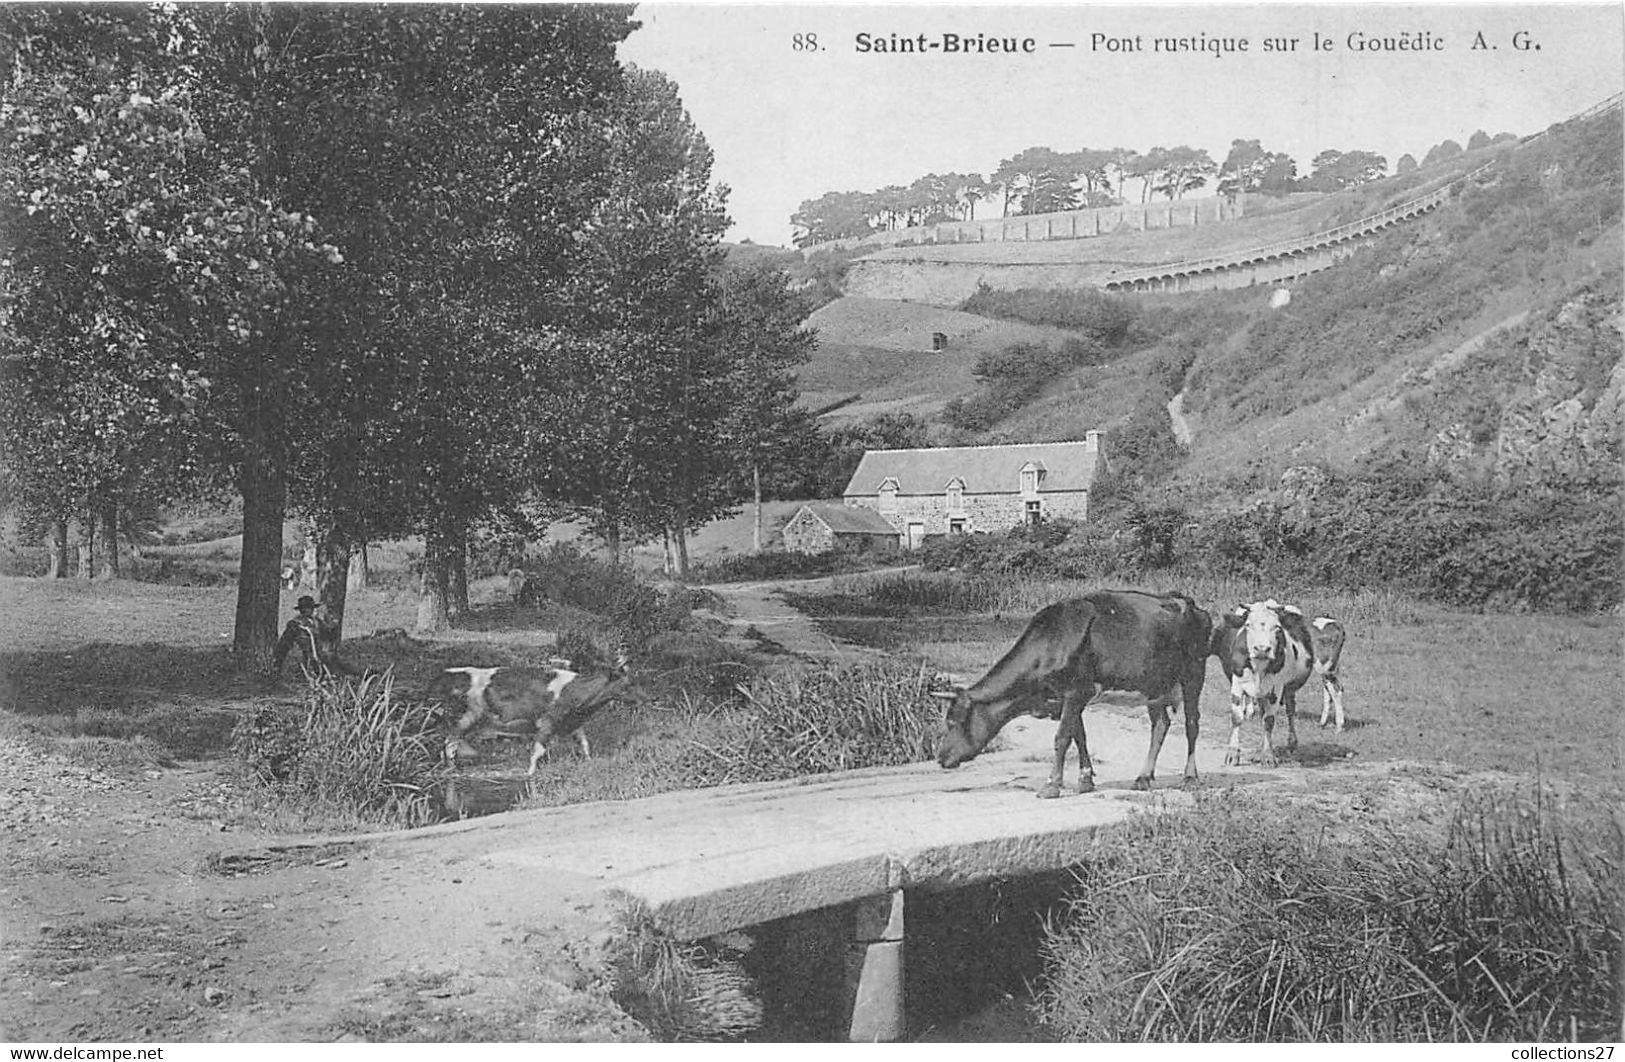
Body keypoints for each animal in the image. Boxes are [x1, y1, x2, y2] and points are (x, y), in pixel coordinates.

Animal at [429, 652, 637, 779]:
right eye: (627, 684)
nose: (643, 698)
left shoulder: (573, 723)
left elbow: (585, 744)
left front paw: (589, 763)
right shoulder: (547, 723)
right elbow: (538, 751)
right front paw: (529, 774)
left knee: (449, 745)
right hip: (463, 719)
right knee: (449, 745)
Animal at [936, 594, 1215, 795]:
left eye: (953, 722)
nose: (940, 757)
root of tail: (1188, 602)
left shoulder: (1075, 691)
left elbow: (1061, 738)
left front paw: (1051, 785)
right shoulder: (1068, 698)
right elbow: (1078, 735)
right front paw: (1085, 780)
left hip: (1194, 674)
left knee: (1191, 724)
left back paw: (1190, 777)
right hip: (1153, 685)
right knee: (1160, 724)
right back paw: (1143, 778)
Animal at [1222, 604, 1345, 769]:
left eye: (1277, 627)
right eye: (1248, 625)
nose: (1262, 649)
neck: (1258, 669)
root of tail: (1333, 622)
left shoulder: (1276, 687)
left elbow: (1268, 721)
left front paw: (1268, 756)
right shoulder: (1237, 683)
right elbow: (1237, 718)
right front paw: (1232, 754)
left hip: (1325, 668)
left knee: (1335, 691)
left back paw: (1338, 725)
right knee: (1293, 707)